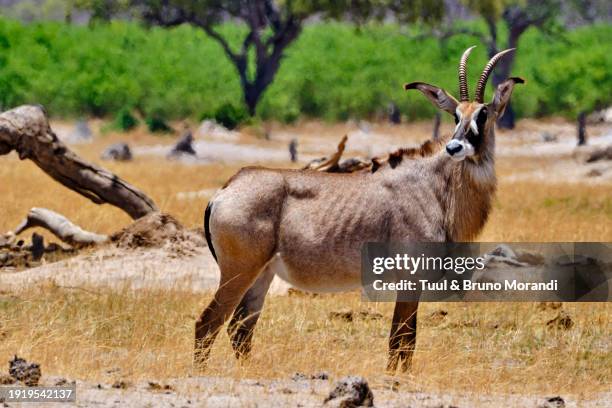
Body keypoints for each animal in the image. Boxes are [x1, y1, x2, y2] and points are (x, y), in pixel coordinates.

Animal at [198, 46, 524, 372]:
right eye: (456, 115)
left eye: (483, 114)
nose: (454, 148)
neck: (434, 185)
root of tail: (224, 190)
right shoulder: (409, 278)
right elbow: (401, 340)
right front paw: (396, 378)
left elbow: (405, 340)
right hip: (239, 271)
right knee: (209, 323)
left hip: (262, 275)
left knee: (240, 328)